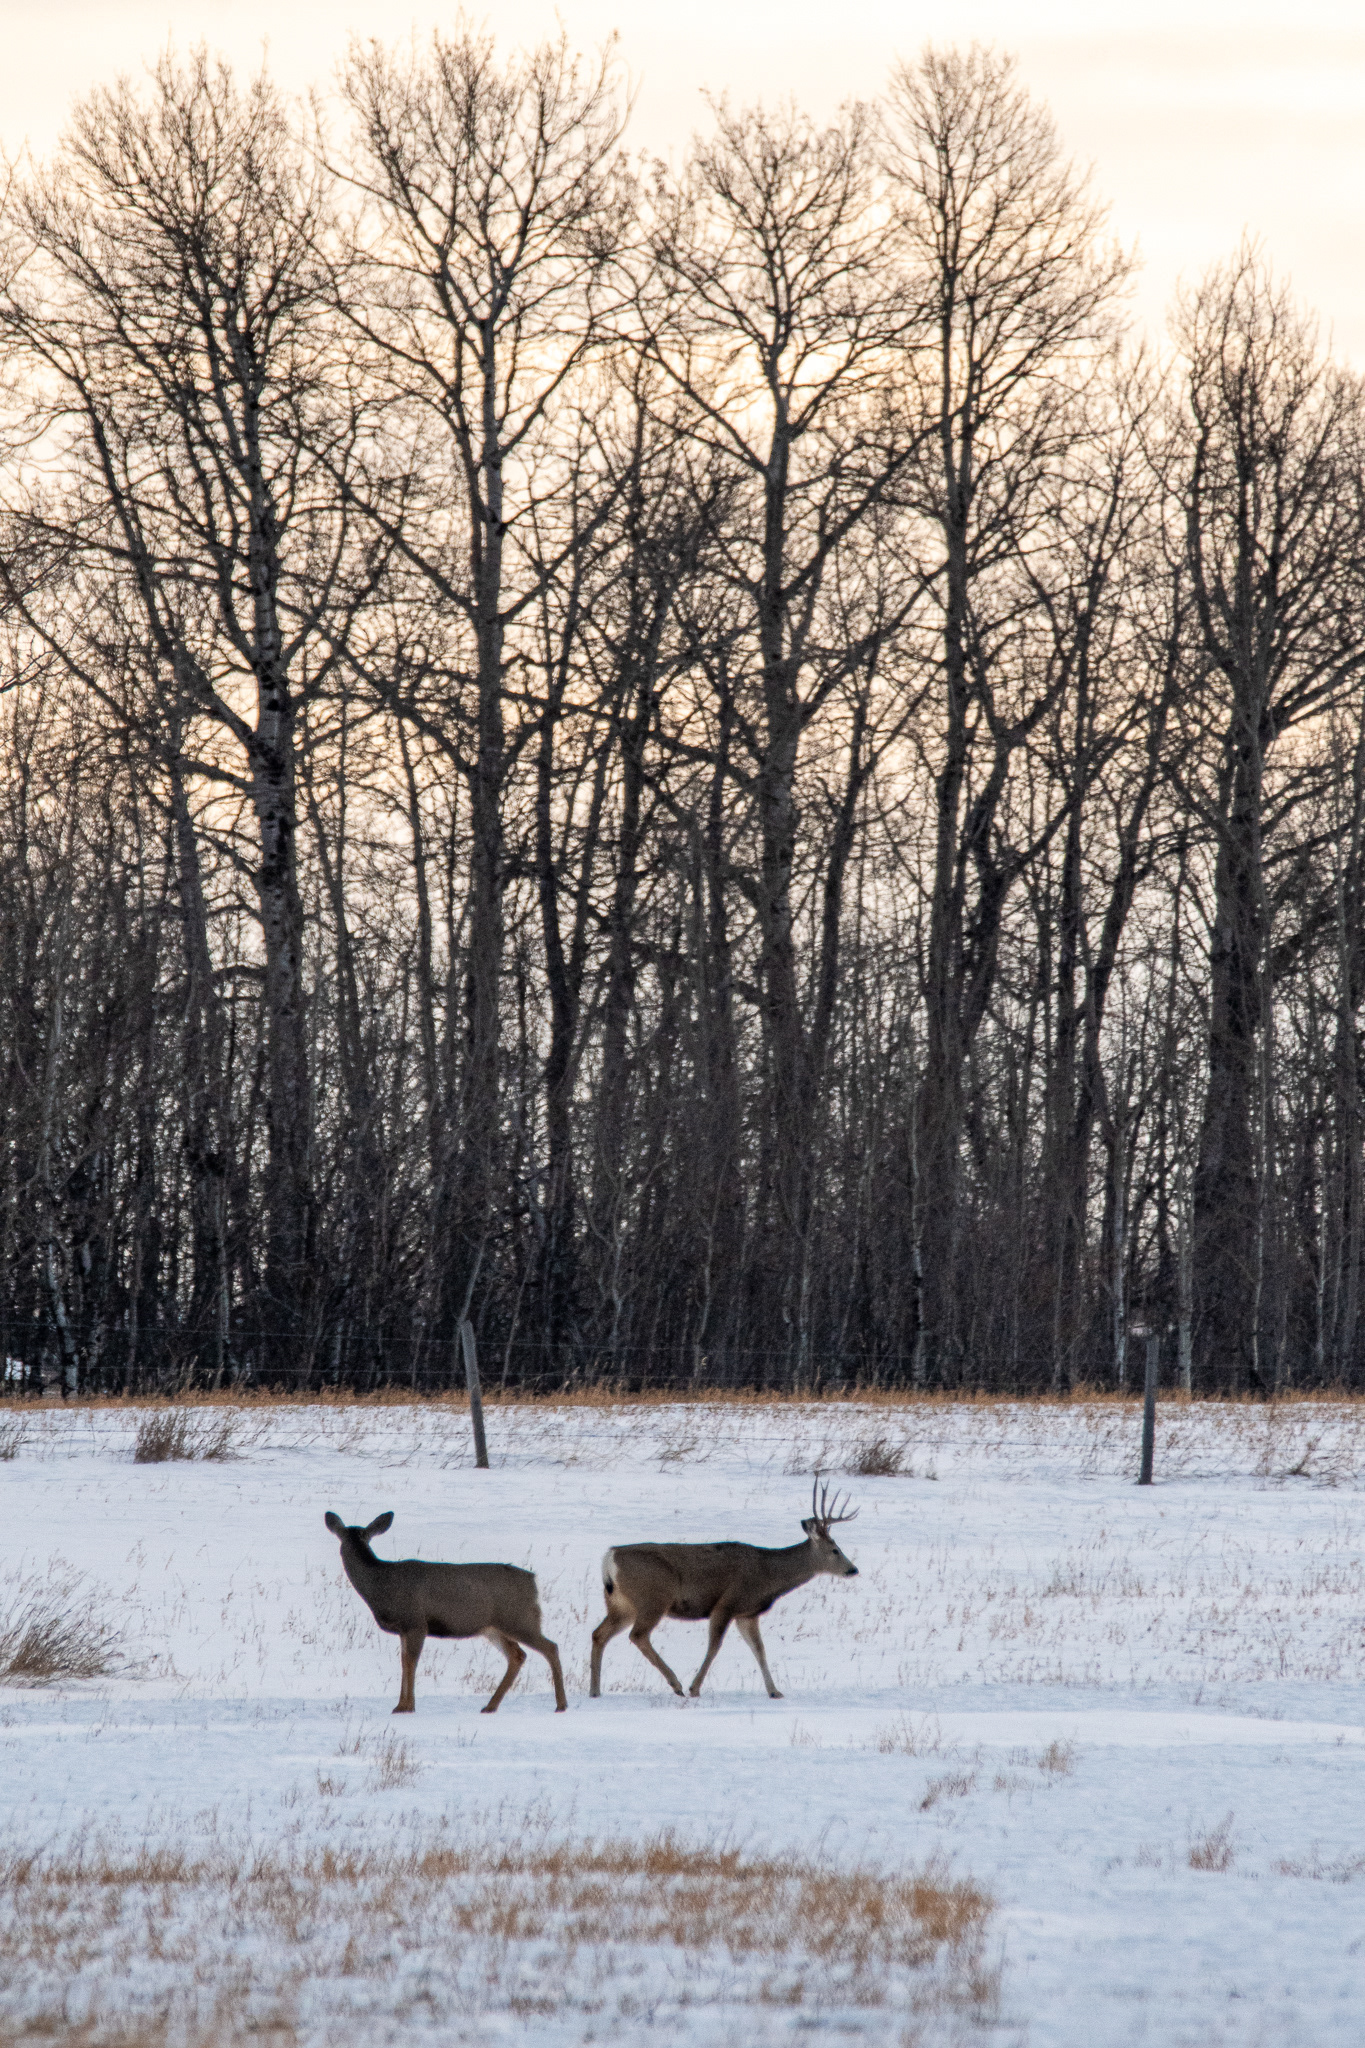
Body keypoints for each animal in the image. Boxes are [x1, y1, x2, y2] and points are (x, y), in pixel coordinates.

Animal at [324, 1510, 568, 1715]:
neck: (381, 1586)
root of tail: (533, 1582)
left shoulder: (416, 1622)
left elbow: (411, 1662)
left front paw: (406, 1707)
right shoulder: (404, 1629)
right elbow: (403, 1662)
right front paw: (401, 1705)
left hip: (520, 1619)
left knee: (551, 1647)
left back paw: (561, 1705)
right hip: (494, 1628)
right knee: (518, 1656)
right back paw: (489, 1706)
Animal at [589, 1480, 859, 1701]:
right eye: (835, 1550)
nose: (853, 1569)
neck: (768, 1574)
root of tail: (610, 1557)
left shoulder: (747, 1613)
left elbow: (759, 1650)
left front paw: (775, 1691)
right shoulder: (727, 1603)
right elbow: (714, 1647)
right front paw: (695, 1688)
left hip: (621, 1604)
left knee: (599, 1634)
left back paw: (595, 1691)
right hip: (653, 1598)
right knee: (638, 1635)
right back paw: (676, 1684)